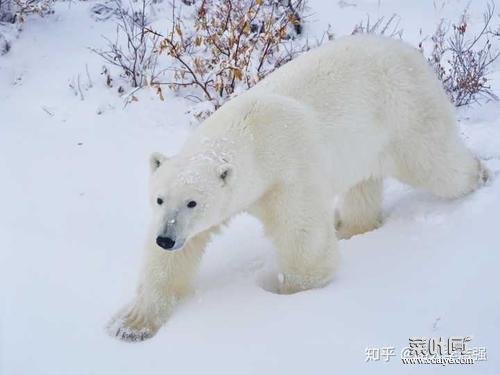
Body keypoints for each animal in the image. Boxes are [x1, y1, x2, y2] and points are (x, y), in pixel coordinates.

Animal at [106, 33, 488, 342]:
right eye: (159, 199)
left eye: (192, 203)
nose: (166, 238)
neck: (252, 134)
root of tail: (410, 51)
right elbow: (179, 256)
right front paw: (131, 323)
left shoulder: (288, 171)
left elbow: (303, 237)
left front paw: (290, 294)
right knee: (363, 185)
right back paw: (351, 228)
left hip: (406, 111)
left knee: (435, 163)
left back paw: (480, 174)